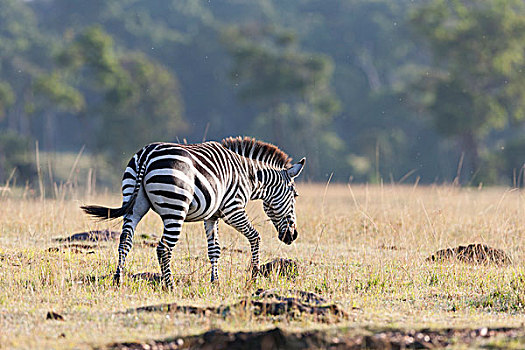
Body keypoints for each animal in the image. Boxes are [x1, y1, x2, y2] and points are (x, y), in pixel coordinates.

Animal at [80, 135, 304, 288]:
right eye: (295, 195)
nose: (292, 236)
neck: (249, 176)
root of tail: (147, 154)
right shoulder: (233, 209)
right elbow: (255, 237)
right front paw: (254, 276)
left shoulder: (212, 217)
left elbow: (214, 250)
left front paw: (215, 282)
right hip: (175, 208)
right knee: (163, 248)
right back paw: (169, 285)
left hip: (134, 202)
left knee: (125, 239)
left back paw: (118, 279)